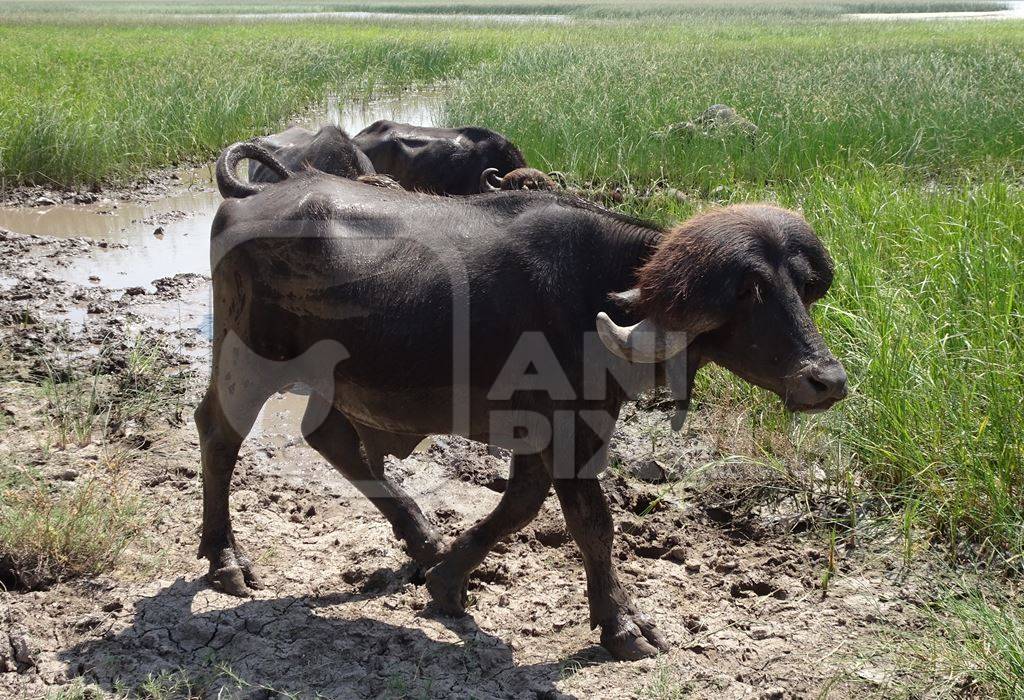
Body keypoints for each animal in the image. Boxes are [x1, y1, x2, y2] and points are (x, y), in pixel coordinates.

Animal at [197, 143, 847, 663]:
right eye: (749, 291)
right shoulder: (570, 430)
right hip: (247, 358)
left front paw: (447, 581)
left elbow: (520, 506)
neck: (597, 295)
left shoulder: (547, 429)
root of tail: (247, 201)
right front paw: (622, 625)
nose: (828, 381)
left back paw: (422, 537)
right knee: (220, 433)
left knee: (330, 437)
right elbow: (591, 523)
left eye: (802, 287)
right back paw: (225, 559)